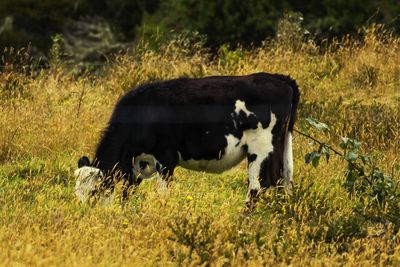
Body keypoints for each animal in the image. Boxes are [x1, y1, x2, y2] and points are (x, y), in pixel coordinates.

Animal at [75, 72, 300, 206]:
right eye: (76, 192)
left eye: (93, 192)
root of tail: (279, 78)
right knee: (282, 180)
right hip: (281, 147)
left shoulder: (166, 158)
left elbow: (163, 193)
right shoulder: (136, 164)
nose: (85, 215)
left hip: (261, 148)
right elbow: (127, 194)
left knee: (257, 186)